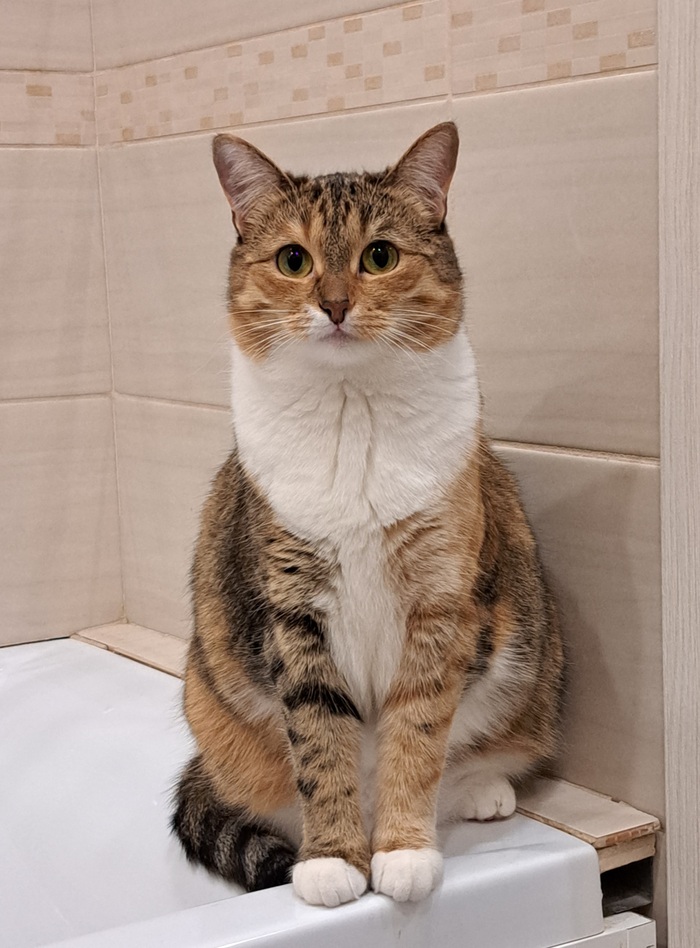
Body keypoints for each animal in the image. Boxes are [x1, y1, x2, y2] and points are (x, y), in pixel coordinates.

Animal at [171, 122, 564, 908]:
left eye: (379, 256)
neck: (352, 414)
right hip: (209, 699)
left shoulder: (439, 601)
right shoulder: (294, 611)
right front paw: (333, 861)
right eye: (292, 260)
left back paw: (481, 792)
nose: (334, 304)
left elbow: (417, 732)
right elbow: (322, 744)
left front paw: (404, 852)